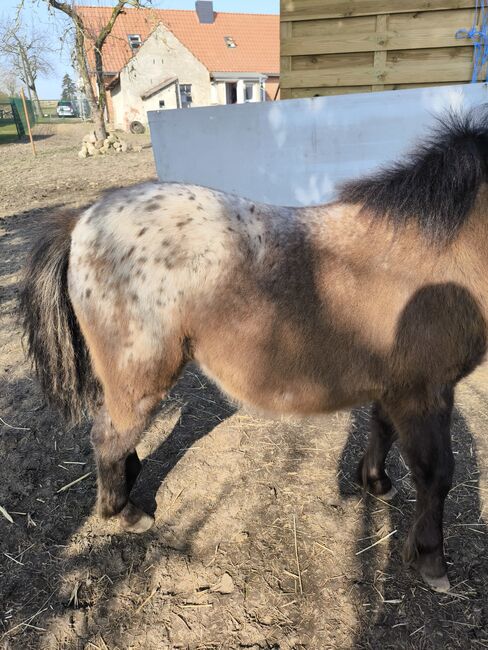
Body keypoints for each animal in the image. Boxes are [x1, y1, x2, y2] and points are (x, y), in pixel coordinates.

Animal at [21, 110, 488, 592]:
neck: (433, 252)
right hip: (142, 377)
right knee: (109, 436)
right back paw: (125, 512)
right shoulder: (425, 392)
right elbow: (436, 475)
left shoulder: (396, 386)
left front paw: (375, 483)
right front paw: (432, 559)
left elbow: (383, 430)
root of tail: (83, 222)